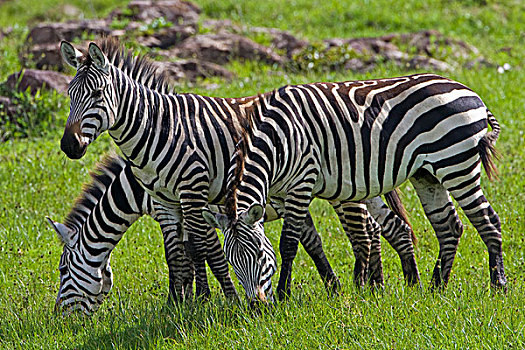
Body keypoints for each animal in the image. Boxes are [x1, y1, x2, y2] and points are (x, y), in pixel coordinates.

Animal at [57, 39, 418, 306]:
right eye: (68, 96)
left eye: (62, 271)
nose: (69, 146)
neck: (162, 130)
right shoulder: (169, 204)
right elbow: (178, 254)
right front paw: (179, 301)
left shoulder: (195, 199)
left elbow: (202, 251)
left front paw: (208, 298)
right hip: (362, 185)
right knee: (387, 228)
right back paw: (382, 284)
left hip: (345, 189)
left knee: (365, 233)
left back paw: (368, 285)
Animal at [207, 73, 506, 300]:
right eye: (232, 263)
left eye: (259, 255)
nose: (256, 307)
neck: (278, 140)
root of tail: (471, 93)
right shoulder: (281, 193)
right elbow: (304, 240)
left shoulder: (301, 182)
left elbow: (289, 243)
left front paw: (283, 294)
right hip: (427, 175)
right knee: (449, 226)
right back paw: (434, 288)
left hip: (457, 164)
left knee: (487, 219)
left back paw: (498, 285)